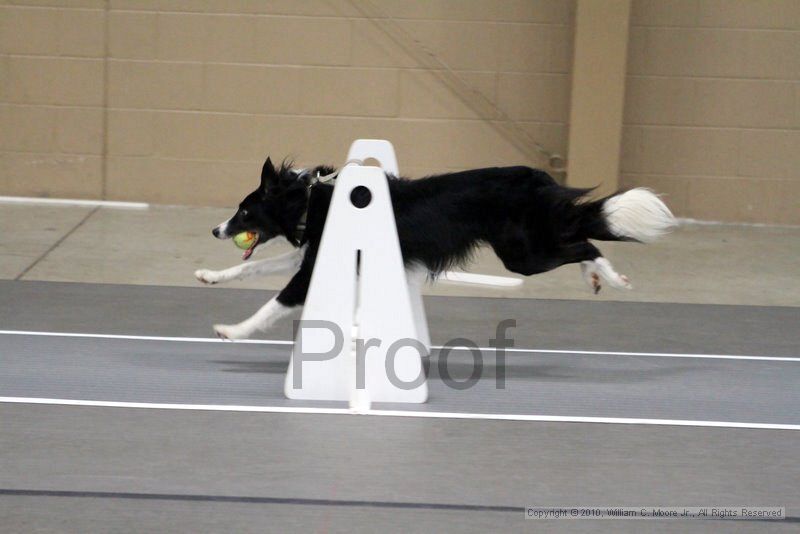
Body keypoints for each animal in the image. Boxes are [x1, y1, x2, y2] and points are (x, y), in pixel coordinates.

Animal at [195, 157, 676, 340]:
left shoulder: (312, 268)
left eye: (244, 212)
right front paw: (211, 276)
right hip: (526, 248)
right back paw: (595, 278)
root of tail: (540, 178)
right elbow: (251, 270)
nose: (216, 230)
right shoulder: (310, 254)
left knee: (584, 242)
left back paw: (611, 277)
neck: (311, 198)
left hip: (523, 254)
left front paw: (232, 331)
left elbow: (273, 303)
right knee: (581, 239)